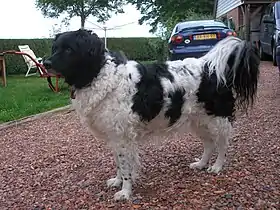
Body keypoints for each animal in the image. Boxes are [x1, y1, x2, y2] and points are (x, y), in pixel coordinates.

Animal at [43, 29, 260, 200]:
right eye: (54, 48)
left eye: (69, 50)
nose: (45, 63)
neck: (97, 74)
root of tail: (210, 66)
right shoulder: (115, 135)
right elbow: (119, 164)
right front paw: (117, 181)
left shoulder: (123, 137)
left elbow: (126, 166)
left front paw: (125, 192)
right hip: (198, 120)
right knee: (208, 143)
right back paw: (201, 164)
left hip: (217, 118)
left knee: (222, 144)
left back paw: (217, 167)